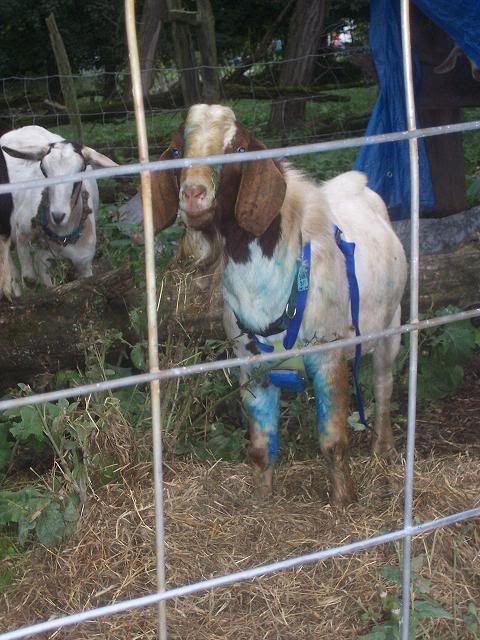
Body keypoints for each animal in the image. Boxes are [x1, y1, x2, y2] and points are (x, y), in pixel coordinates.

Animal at [0, 125, 117, 295]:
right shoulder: (22, 234)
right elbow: (29, 279)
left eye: (81, 169)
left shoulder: (84, 261)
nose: (58, 215)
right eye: (43, 169)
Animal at [151, 104, 408, 504]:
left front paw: (343, 501)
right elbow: (260, 448)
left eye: (239, 149)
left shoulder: (326, 352)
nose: (193, 194)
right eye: (178, 150)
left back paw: (384, 449)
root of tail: (356, 182)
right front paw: (263, 498)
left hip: (392, 321)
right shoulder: (249, 362)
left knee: (384, 383)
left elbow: (334, 441)